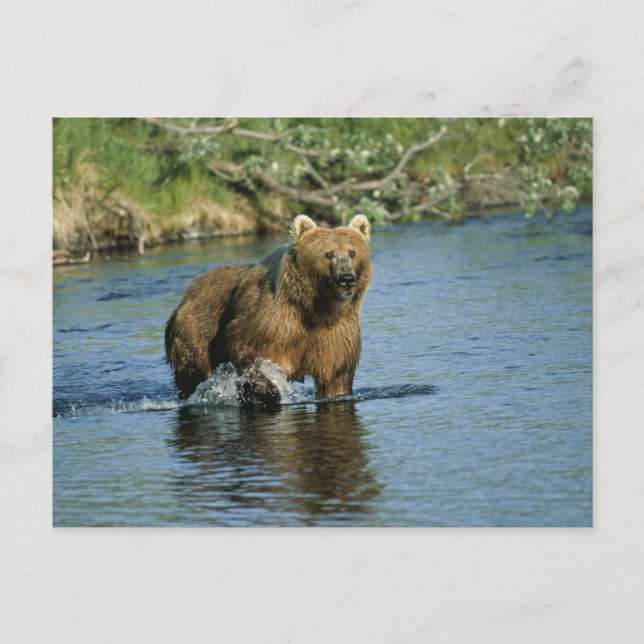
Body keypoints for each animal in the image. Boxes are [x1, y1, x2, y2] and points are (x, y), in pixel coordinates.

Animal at [165, 214, 372, 406]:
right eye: (329, 253)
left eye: (352, 252)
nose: (346, 279)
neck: (316, 308)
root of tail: (187, 294)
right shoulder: (272, 321)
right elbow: (243, 348)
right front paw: (268, 392)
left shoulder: (336, 333)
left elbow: (335, 377)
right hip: (195, 332)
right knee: (194, 374)